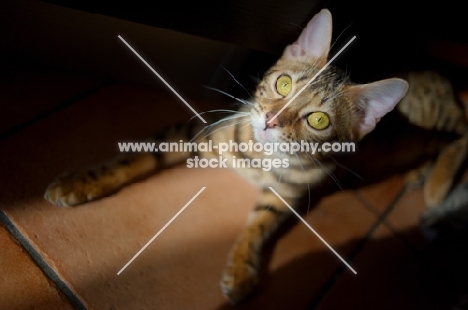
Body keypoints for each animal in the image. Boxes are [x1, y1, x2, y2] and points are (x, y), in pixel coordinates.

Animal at [44, 9, 468, 302]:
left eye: (317, 119)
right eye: (283, 84)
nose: (271, 120)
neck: (261, 159)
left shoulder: (287, 195)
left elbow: (259, 225)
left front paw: (240, 268)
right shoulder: (200, 131)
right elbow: (143, 153)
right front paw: (81, 182)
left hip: (434, 124)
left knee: (461, 133)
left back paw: (437, 187)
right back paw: (420, 176)